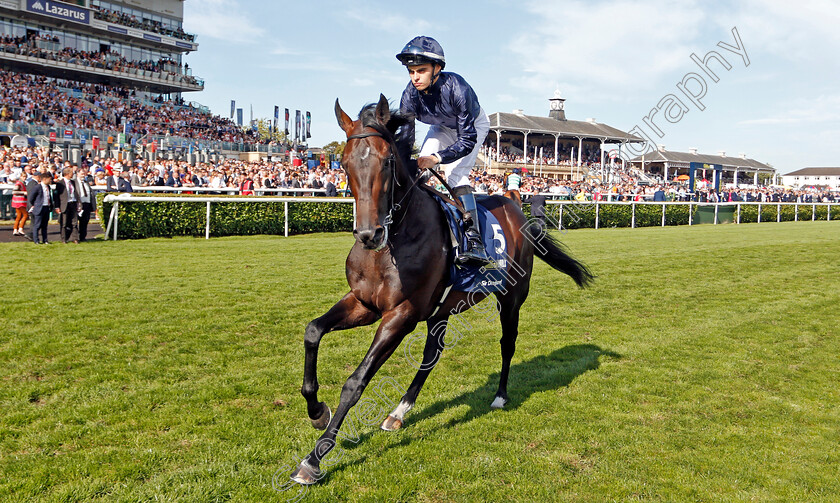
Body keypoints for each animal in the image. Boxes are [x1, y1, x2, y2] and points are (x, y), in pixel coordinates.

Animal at [288, 94, 592, 484]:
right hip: (441, 310)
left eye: (387, 160)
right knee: (433, 353)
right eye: (343, 162)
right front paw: (316, 411)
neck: (393, 242)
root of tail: (515, 203)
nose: (369, 234)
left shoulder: (401, 314)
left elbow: (356, 382)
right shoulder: (363, 303)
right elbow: (313, 330)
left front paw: (313, 459)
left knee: (507, 344)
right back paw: (398, 412)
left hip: (511, 297)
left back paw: (499, 396)